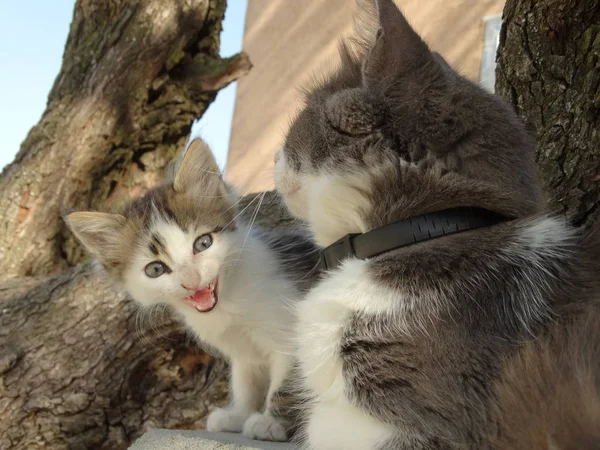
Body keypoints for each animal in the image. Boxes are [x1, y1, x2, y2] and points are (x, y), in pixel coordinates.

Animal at [67, 136, 318, 440]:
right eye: (155, 269)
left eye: (203, 243)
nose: (191, 279)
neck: (229, 301)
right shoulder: (244, 355)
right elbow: (245, 383)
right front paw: (239, 415)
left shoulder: (292, 332)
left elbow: (289, 383)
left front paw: (272, 422)